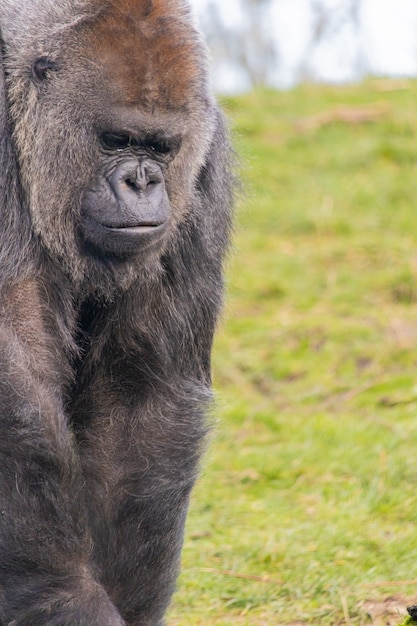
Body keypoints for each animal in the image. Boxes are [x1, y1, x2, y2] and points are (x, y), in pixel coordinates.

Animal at [0, 2, 232, 620]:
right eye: (114, 140)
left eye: (161, 149)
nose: (141, 181)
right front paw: (64, 596)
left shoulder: (204, 167)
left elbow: (139, 399)